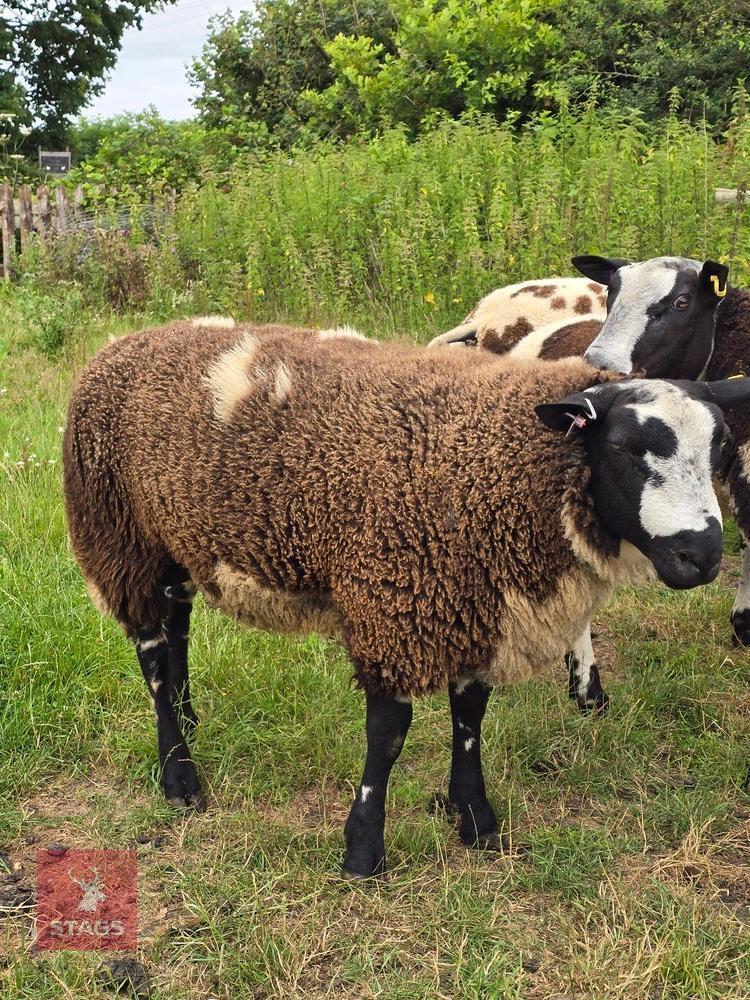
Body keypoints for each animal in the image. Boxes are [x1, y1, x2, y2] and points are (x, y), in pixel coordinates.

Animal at [62, 320, 747, 877]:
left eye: (720, 450)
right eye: (627, 448)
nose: (703, 556)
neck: (499, 462)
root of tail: (122, 343)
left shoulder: (472, 601)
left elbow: (469, 718)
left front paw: (475, 820)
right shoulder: (394, 604)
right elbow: (388, 736)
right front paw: (363, 850)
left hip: (170, 538)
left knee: (177, 625)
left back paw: (188, 715)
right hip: (120, 534)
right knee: (153, 652)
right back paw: (179, 773)